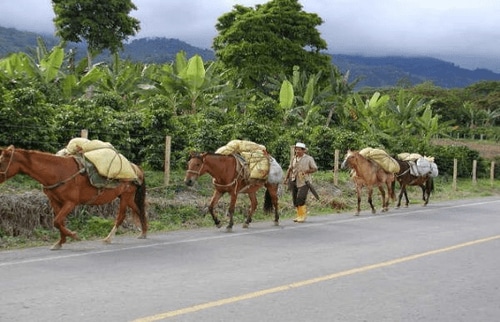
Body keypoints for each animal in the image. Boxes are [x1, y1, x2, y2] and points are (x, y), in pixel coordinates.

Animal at [0, 145, 147, 249]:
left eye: (1, 162)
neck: (57, 172)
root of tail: (135, 168)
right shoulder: (54, 201)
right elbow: (59, 222)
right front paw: (60, 242)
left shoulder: (71, 202)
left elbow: (57, 221)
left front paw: (74, 236)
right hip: (126, 197)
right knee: (138, 210)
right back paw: (144, 232)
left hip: (126, 196)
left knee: (121, 216)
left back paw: (109, 238)